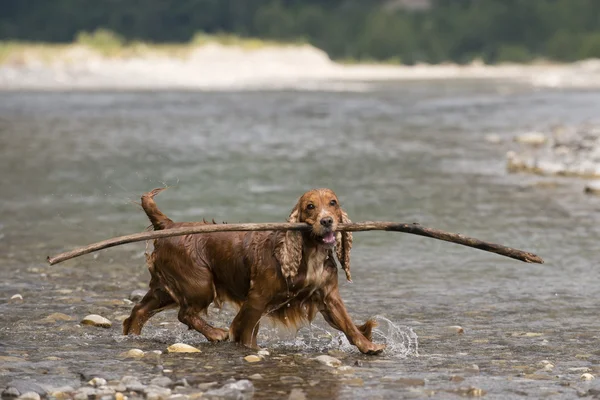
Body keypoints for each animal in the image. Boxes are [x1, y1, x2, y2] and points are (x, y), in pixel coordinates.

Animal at [123, 189, 384, 354]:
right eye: (310, 207)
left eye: (333, 203)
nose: (327, 221)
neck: (309, 252)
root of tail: (170, 224)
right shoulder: (257, 298)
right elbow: (246, 331)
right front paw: (252, 350)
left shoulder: (328, 296)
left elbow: (347, 323)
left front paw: (368, 346)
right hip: (200, 284)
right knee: (184, 313)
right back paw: (215, 334)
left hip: (167, 288)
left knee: (140, 310)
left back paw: (133, 337)